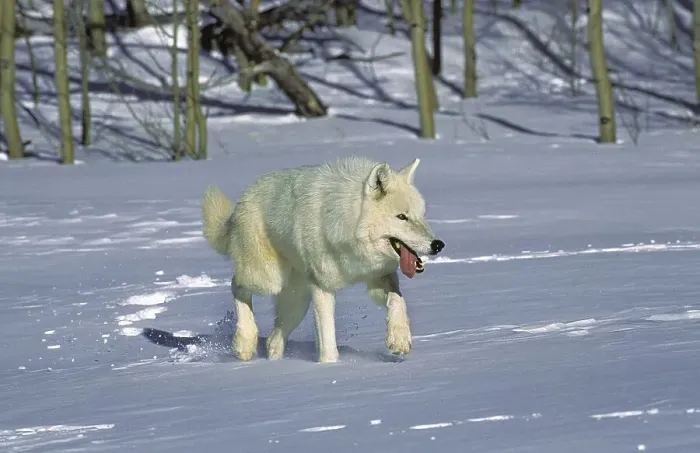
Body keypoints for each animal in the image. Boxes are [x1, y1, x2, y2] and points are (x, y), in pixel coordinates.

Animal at [201, 156, 445, 363]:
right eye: (402, 217)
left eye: (422, 216)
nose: (438, 245)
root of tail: (242, 200)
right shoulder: (322, 288)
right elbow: (328, 342)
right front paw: (329, 368)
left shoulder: (379, 276)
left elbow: (398, 301)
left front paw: (399, 339)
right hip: (268, 280)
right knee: (236, 284)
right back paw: (245, 343)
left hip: (297, 302)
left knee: (273, 340)